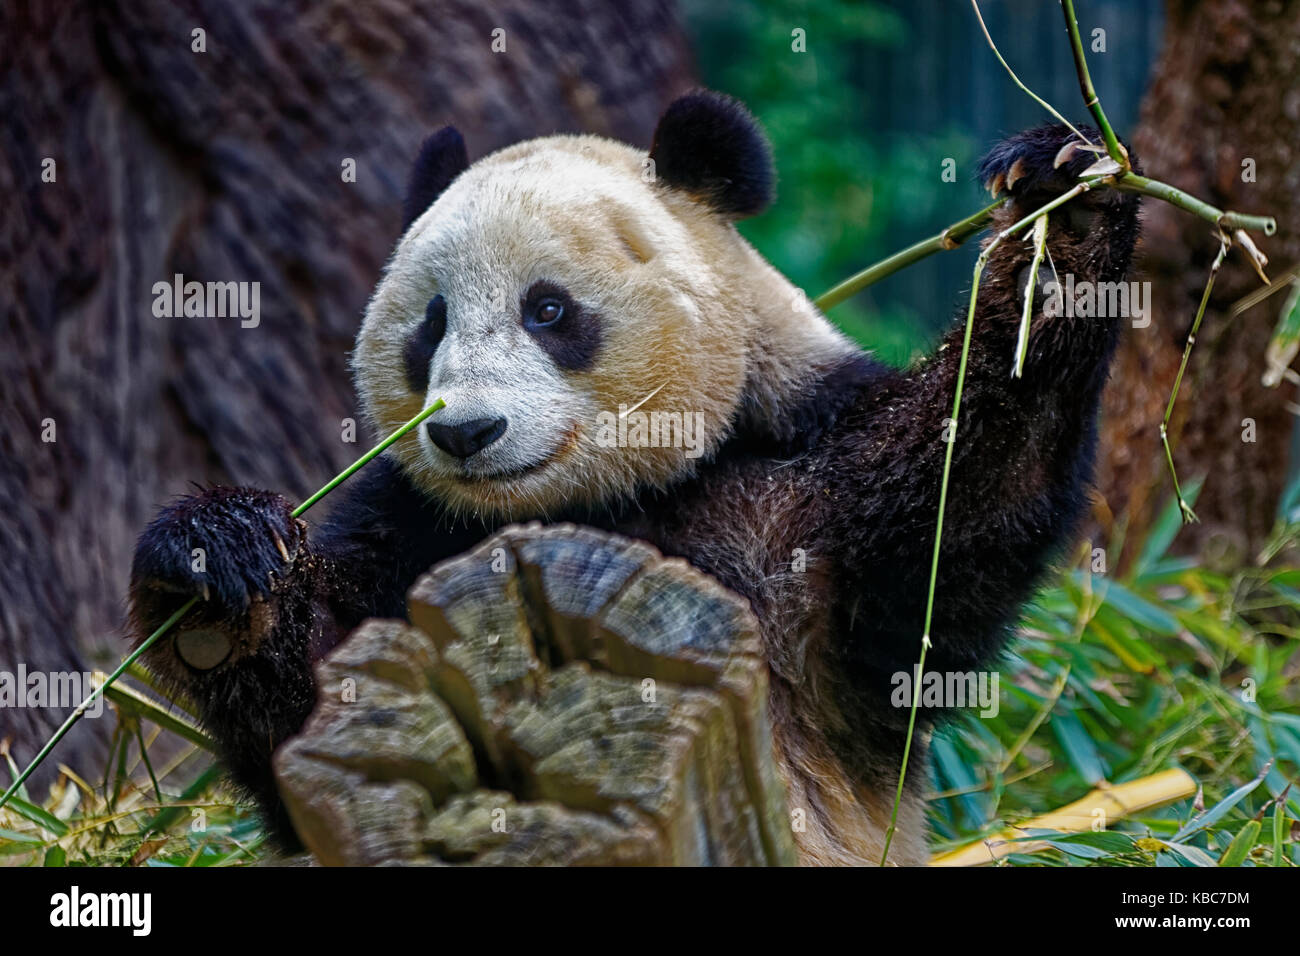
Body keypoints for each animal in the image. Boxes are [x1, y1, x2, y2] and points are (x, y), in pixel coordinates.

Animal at [130, 91, 1140, 865]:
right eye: (431, 323)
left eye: (547, 310)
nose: (465, 432)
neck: (599, 504)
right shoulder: (411, 529)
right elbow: (318, 719)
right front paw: (217, 559)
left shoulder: (806, 492)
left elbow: (962, 505)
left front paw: (1065, 203)